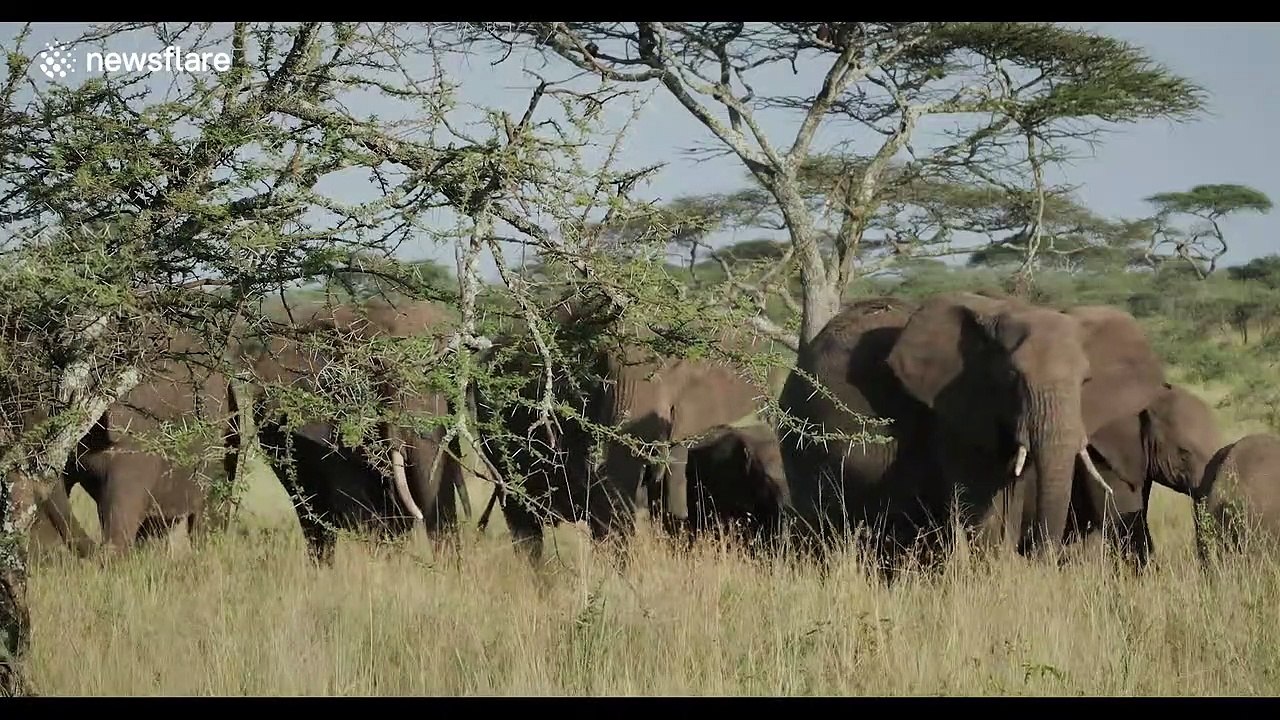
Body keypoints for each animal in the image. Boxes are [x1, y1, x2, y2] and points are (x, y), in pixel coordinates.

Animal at [777, 292, 1167, 573]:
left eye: (1086, 381)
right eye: (1011, 377)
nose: (1043, 562)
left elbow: (1008, 498)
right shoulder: (953, 418)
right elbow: (982, 507)